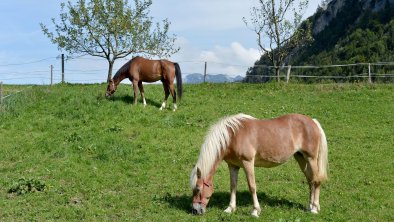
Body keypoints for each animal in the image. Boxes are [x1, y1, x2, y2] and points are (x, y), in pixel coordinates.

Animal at [189, 113, 328, 218]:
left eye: (198, 189)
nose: (195, 210)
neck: (233, 135)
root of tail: (313, 122)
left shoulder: (248, 163)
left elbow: (252, 186)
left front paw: (255, 211)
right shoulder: (233, 166)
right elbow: (233, 186)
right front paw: (230, 208)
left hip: (311, 159)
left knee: (316, 181)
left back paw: (314, 208)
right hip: (301, 158)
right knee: (310, 181)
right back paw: (310, 206)